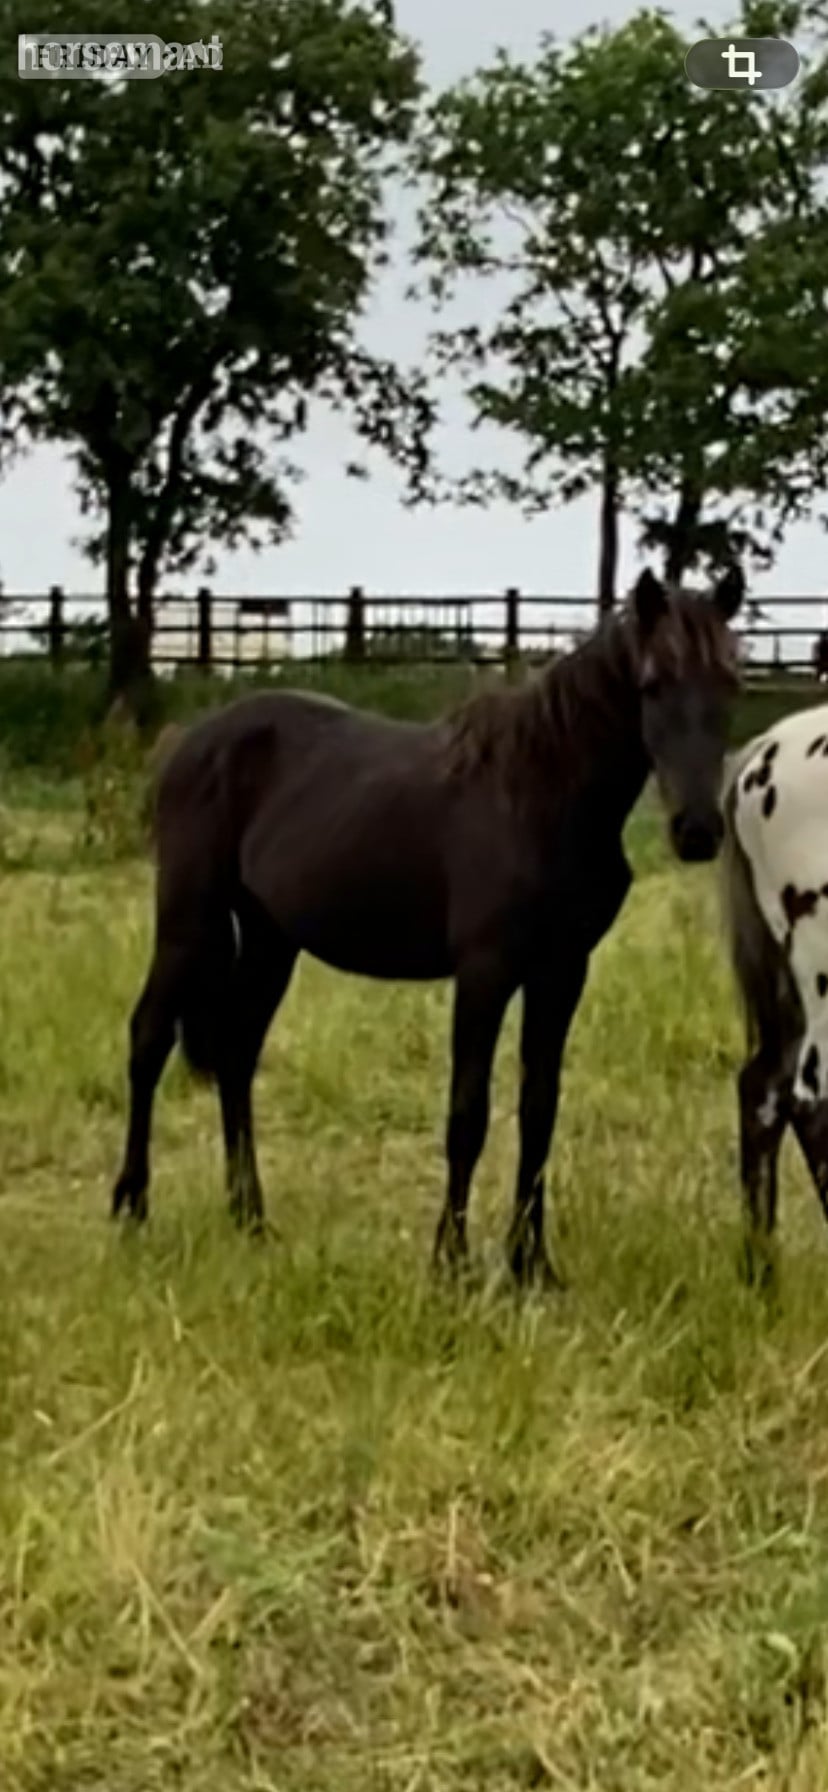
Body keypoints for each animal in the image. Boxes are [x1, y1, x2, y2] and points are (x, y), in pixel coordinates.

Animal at [112, 564, 743, 1287]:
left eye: (730, 681)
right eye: (652, 683)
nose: (697, 831)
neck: (540, 793)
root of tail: (192, 743)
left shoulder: (561, 972)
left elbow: (539, 1111)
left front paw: (531, 1264)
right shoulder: (485, 970)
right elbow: (467, 1113)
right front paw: (452, 1261)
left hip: (271, 939)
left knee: (236, 1055)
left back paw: (250, 1218)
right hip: (189, 920)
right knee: (149, 1040)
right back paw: (132, 1207)